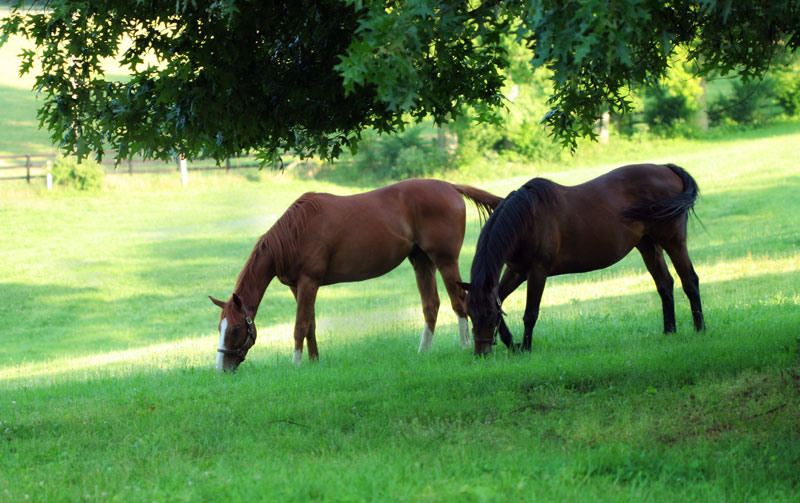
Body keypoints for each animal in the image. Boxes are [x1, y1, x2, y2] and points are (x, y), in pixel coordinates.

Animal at [211, 179, 500, 372]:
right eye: (220, 327)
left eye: (235, 329)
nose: (221, 368)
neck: (295, 232)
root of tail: (449, 186)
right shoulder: (299, 286)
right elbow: (311, 324)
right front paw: (314, 362)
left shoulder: (308, 282)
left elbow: (300, 326)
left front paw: (297, 364)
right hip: (421, 261)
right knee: (431, 306)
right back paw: (423, 351)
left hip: (445, 260)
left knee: (459, 302)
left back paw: (464, 346)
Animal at [462, 163, 708, 356]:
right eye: (470, 314)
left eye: (487, 315)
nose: (481, 353)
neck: (526, 219)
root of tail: (667, 169)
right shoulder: (516, 272)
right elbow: (500, 299)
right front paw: (512, 343)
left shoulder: (537, 272)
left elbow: (530, 313)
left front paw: (525, 348)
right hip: (648, 246)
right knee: (665, 284)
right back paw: (669, 331)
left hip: (674, 241)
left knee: (689, 280)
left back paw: (700, 329)